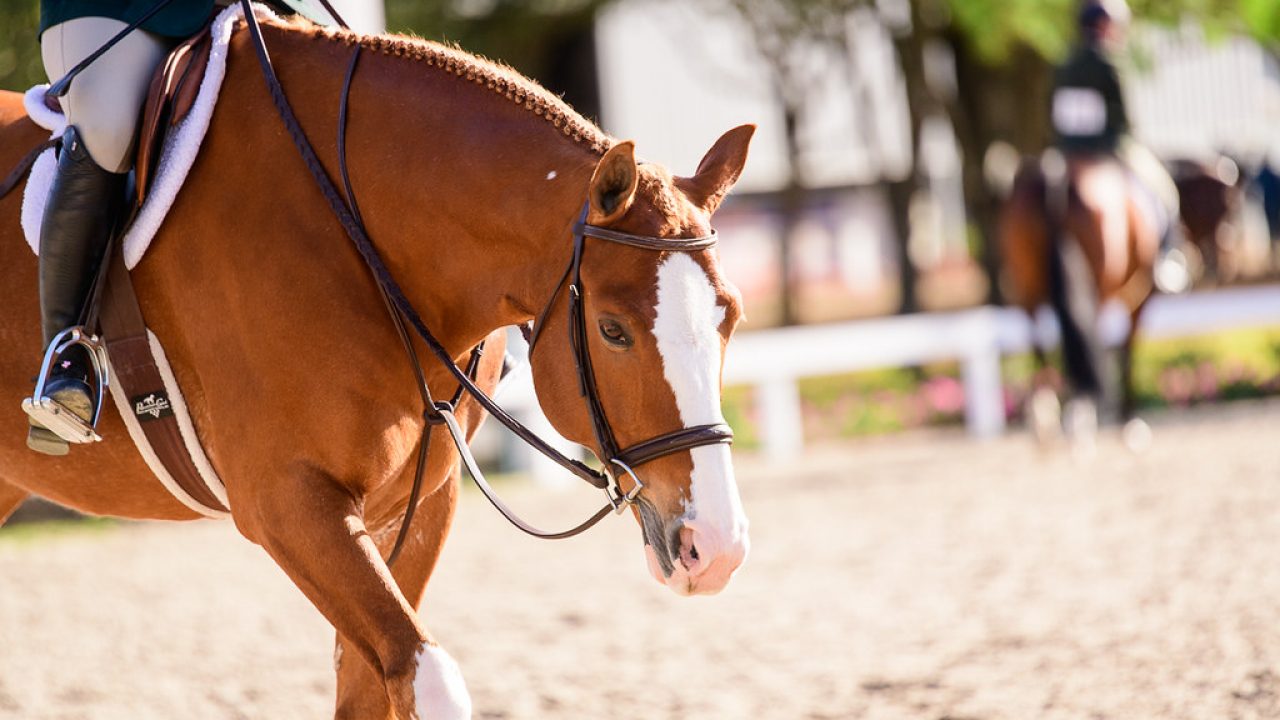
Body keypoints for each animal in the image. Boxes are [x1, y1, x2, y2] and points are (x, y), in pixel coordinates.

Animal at [0, 9, 753, 719]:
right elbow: (430, 680)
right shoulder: (288, 503)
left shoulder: (416, 506)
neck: (359, 237)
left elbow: (375, 688)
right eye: (612, 330)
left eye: (732, 317)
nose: (715, 551)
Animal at [999, 152, 1159, 449]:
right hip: (1099, 285)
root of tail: (1056, 174)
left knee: (1038, 338)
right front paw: (1130, 423)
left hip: (1027, 283)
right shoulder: (1140, 299)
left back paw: (1046, 419)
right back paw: (1080, 417)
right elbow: (1126, 353)